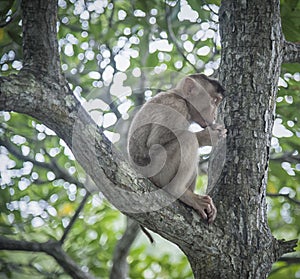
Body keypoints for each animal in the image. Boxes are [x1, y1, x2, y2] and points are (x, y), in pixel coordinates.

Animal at [127, 73, 227, 224]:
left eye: (217, 102)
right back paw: (178, 191)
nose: (214, 115)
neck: (179, 96)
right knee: (188, 139)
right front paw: (208, 136)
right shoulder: (176, 107)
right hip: (158, 172)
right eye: (213, 101)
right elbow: (155, 143)